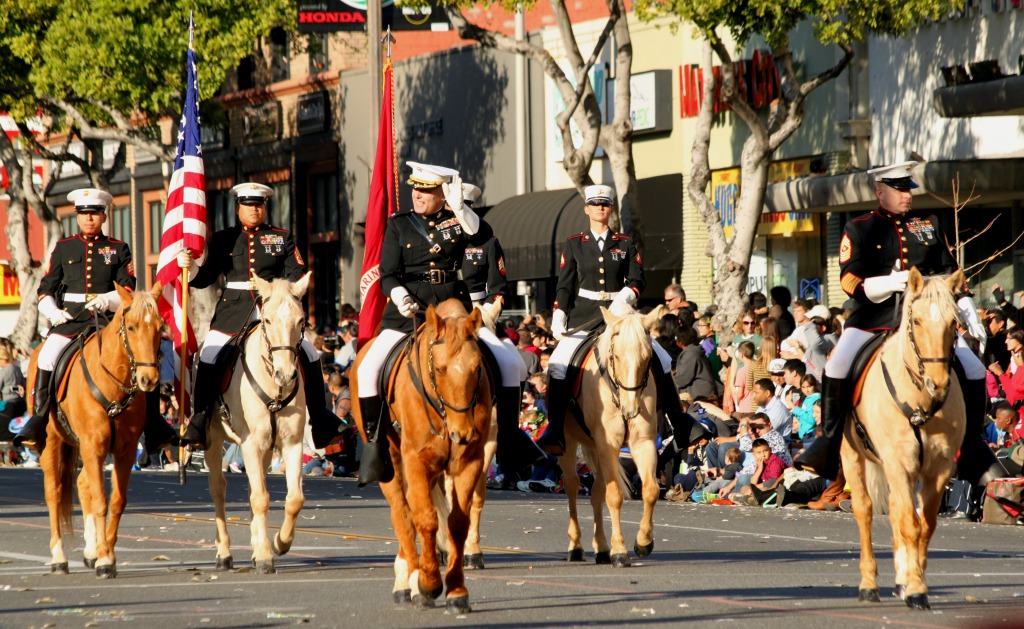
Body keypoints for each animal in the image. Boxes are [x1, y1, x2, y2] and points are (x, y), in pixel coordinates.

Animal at [29, 282, 163, 577]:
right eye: (132, 327)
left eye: (160, 327)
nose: (149, 379)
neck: (112, 383)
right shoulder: (93, 445)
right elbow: (100, 500)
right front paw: (104, 560)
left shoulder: (124, 450)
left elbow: (116, 501)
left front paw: (106, 554)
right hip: (52, 441)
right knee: (54, 491)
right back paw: (59, 557)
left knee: (81, 484)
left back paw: (90, 549)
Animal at [201, 274, 309, 573]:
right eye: (268, 320)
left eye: (301, 320)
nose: (287, 375)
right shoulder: (250, 443)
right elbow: (260, 498)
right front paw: (263, 555)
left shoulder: (291, 444)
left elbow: (294, 499)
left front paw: (279, 543)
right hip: (213, 440)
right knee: (218, 489)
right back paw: (224, 552)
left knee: (252, 487)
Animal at [352, 301, 491, 614]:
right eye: (439, 369)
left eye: (477, 367)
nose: (462, 434)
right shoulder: (415, 461)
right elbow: (425, 520)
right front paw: (427, 584)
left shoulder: (469, 463)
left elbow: (456, 523)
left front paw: (456, 590)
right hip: (391, 464)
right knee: (403, 515)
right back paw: (408, 582)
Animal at [557, 307, 659, 569]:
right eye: (618, 356)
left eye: (647, 357)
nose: (631, 409)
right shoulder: (608, 444)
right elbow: (614, 496)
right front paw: (620, 551)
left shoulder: (642, 442)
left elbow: (650, 490)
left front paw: (643, 542)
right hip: (569, 443)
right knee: (572, 486)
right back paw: (576, 546)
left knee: (596, 492)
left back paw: (602, 548)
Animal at [839, 268, 966, 610]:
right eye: (917, 321)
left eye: (954, 322)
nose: (938, 383)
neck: (920, 400)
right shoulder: (898, 462)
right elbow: (910, 522)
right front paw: (917, 589)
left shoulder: (938, 469)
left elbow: (925, 524)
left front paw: (914, 582)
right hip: (852, 456)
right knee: (864, 510)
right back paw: (869, 584)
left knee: (897, 510)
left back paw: (900, 578)